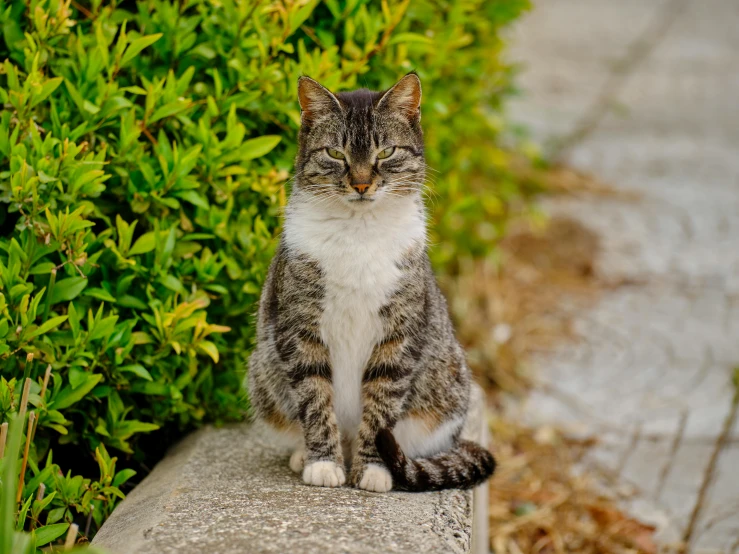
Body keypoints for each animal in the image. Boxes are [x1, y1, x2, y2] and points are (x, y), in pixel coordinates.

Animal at [249, 71, 498, 490]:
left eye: (386, 152)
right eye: (336, 154)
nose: (362, 184)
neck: (358, 231)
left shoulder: (399, 335)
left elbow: (382, 407)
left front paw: (374, 469)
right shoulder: (299, 330)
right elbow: (315, 399)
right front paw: (323, 463)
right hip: (263, 373)